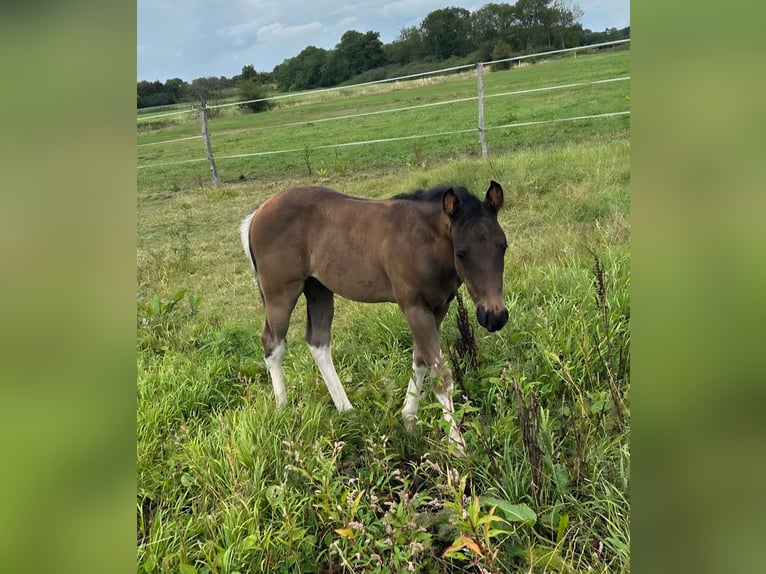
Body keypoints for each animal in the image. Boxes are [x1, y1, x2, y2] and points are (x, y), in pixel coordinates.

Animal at [239, 181, 509, 449]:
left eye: (503, 246)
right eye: (461, 252)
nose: (494, 317)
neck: (424, 242)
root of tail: (256, 215)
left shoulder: (438, 307)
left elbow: (421, 359)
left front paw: (409, 421)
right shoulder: (413, 306)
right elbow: (440, 373)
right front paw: (458, 447)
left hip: (318, 289)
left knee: (318, 342)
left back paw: (348, 412)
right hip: (280, 294)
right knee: (273, 343)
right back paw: (283, 409)